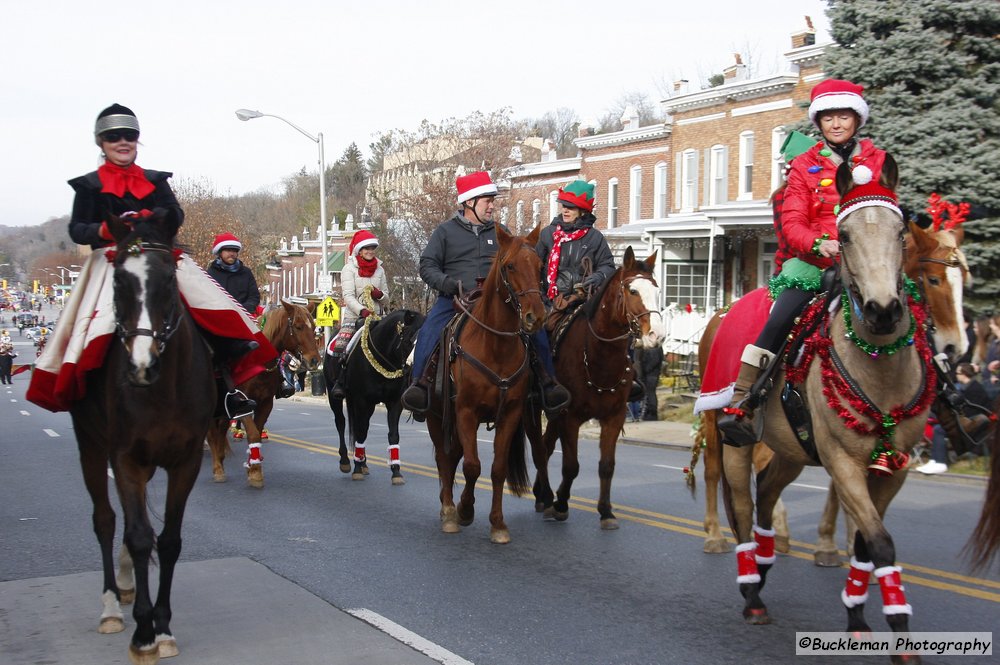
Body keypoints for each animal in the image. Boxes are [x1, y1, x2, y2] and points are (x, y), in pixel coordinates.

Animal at [207, 298, 320, 486]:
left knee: (221, 428)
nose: (315, 361)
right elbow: (252, 434)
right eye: (297, 326)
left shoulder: (266, 403)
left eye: (314, 327)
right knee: (212, 432)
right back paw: (217, 468)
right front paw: (255, 473)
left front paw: (253, 467)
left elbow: (258, 434)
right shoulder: (243, 404)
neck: (258, 362)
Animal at [326, 308, 424, 486]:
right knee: (341, 423)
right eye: (410, 341)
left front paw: (396, 472)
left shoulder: (394, 403)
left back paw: (363, 462)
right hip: (333, 395)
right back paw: (346, 461)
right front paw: (357, 469)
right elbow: (360, 431)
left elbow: (393, 435)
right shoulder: (361, 400)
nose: (415, 373)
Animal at [426, 224, 544, 544]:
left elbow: (497, 469)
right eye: (510, 266)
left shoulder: (510, 414)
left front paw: (498, 523)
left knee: (451, 457)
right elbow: (471, 466)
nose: (536, 316)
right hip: (436, 417)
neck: (495, 346)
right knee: (445, 459)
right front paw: (465, 511)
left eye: (540, 266)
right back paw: (448, 511)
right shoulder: (466, 412)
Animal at [528, 245, 668, 528]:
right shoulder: (570, 417)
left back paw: (541, 495)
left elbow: (607, 465)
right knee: (541, 448)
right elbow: (571, 466)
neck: (598, 356)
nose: (656, 336)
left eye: (657, 290)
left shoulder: (614, 417)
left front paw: (605, 511)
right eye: (633, 291)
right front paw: (561, 504)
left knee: (546, 446)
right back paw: (546, 498)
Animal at [724, 156, 932, 648]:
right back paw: (751, 590)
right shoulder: (843, 462)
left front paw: (857, 615)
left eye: (900, 232)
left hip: (791, 450)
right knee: (742, 507)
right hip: (735, 443)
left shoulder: (893, 468)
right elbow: (880, 543)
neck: (879, 366)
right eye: (847, 235)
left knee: (767, 494)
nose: (882, 310)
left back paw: (763, 567)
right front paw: (896, 621)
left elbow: (865, 543)